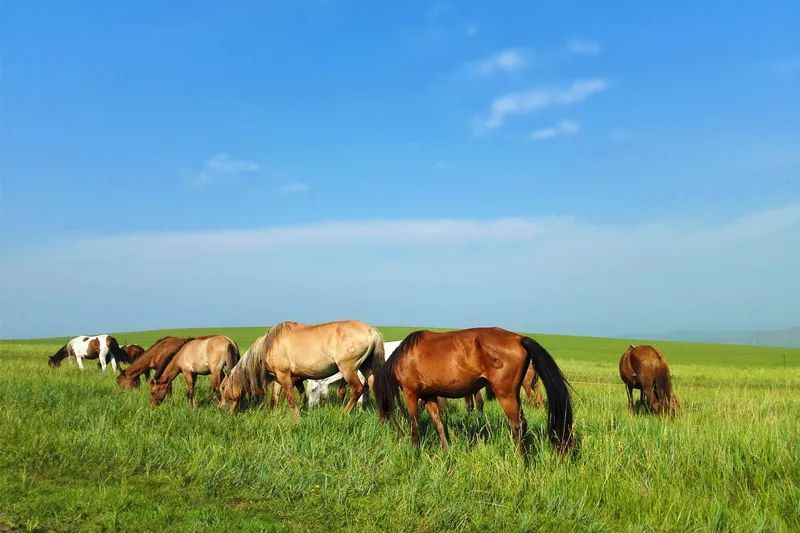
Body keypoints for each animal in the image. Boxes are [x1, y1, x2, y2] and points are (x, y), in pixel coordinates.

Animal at [219, 320, 385, 415]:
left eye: (223, 387)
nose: (221, 409)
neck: (270, 345)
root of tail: (371, 331)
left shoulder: (284, 376)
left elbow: (291, 398)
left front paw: (296, 420)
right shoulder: (281, 378)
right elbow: (277, 397)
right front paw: (274, 415)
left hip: (348, 369)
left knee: (357, 389)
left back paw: (344, 413)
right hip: (367, 367)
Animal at [373, 327, 573, 455]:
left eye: (383, 413)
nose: (384, 431)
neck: (404, 356)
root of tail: (519, 338)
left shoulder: (411, 393)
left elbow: (414, 423)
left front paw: (415, 450)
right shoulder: (429, 395)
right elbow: (438, 424)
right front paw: (446, 450)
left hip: (506, 395)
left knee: (518, 425)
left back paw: (521, 460)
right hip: (514, 393)